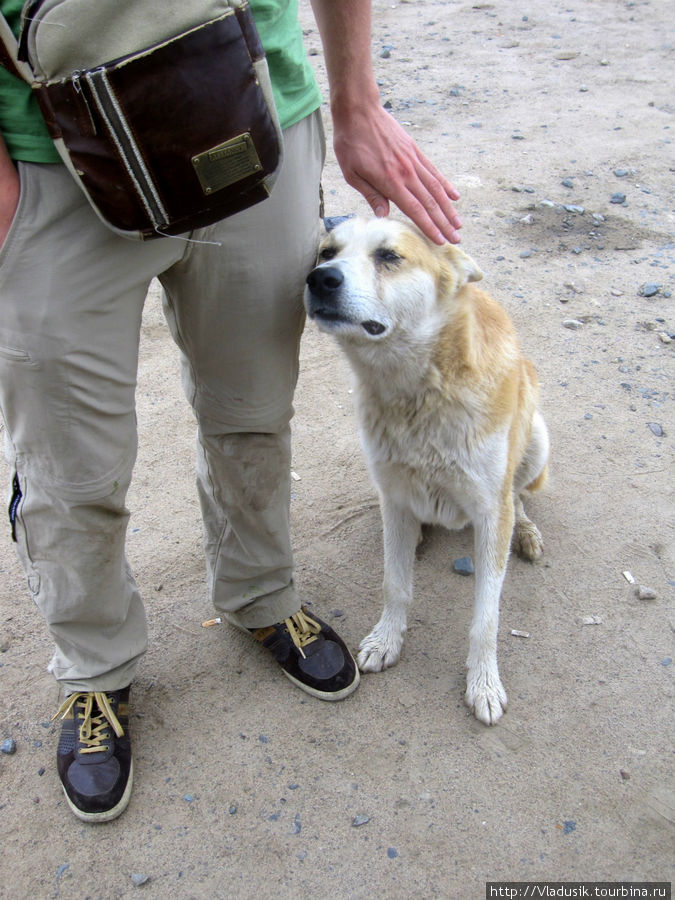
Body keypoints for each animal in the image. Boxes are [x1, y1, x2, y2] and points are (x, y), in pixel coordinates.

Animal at [304, 216, 548, 724]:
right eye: (327, 252)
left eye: (389, 256)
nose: (319, 279)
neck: (418, 392)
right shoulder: (395, 497)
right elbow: (394, 584)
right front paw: (386, 640)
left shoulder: (490, 513)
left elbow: (485, 618)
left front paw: (483, 683)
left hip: (536, 439)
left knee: (519, 495)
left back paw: (527, 532)